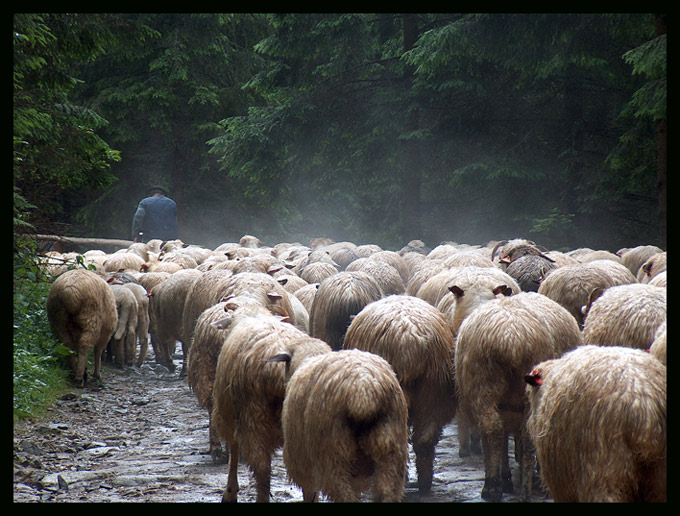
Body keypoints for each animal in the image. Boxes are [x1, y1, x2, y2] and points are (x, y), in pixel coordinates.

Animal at [211, 312, 330, 502]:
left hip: (253, 420)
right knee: (309, 481)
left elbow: (234, 450)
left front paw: (230, 492)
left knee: (262, 471)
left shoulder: (232, 416)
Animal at [272, 348, 410, 502]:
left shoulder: (303, 466)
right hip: (391, 448)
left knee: (345, 495)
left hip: (333, 453)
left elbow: (311, 495)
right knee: (387, 492)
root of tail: (363, 391)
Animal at [454, 292, 580, 502]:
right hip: (527, 390)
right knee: (526, 433)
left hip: (484, 384)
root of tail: (511, 338)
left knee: (491, 429)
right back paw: (525, 490)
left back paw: (492, 486)